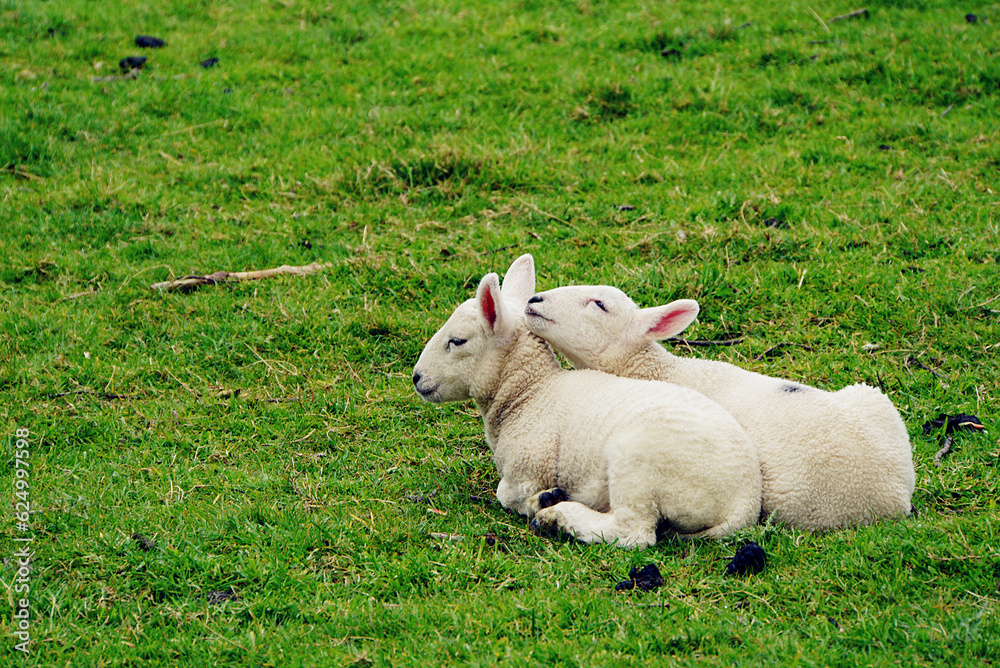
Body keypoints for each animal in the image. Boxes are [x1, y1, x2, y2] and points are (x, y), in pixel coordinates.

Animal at [411, 255, 762, 548]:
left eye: (458, 341)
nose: (416, 377)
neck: (530, 392)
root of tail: (745, 501)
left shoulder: (528, 466)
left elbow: (505, 494)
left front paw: (542, 501)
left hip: (638, 466)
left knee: (633, 532)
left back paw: (559, 518)